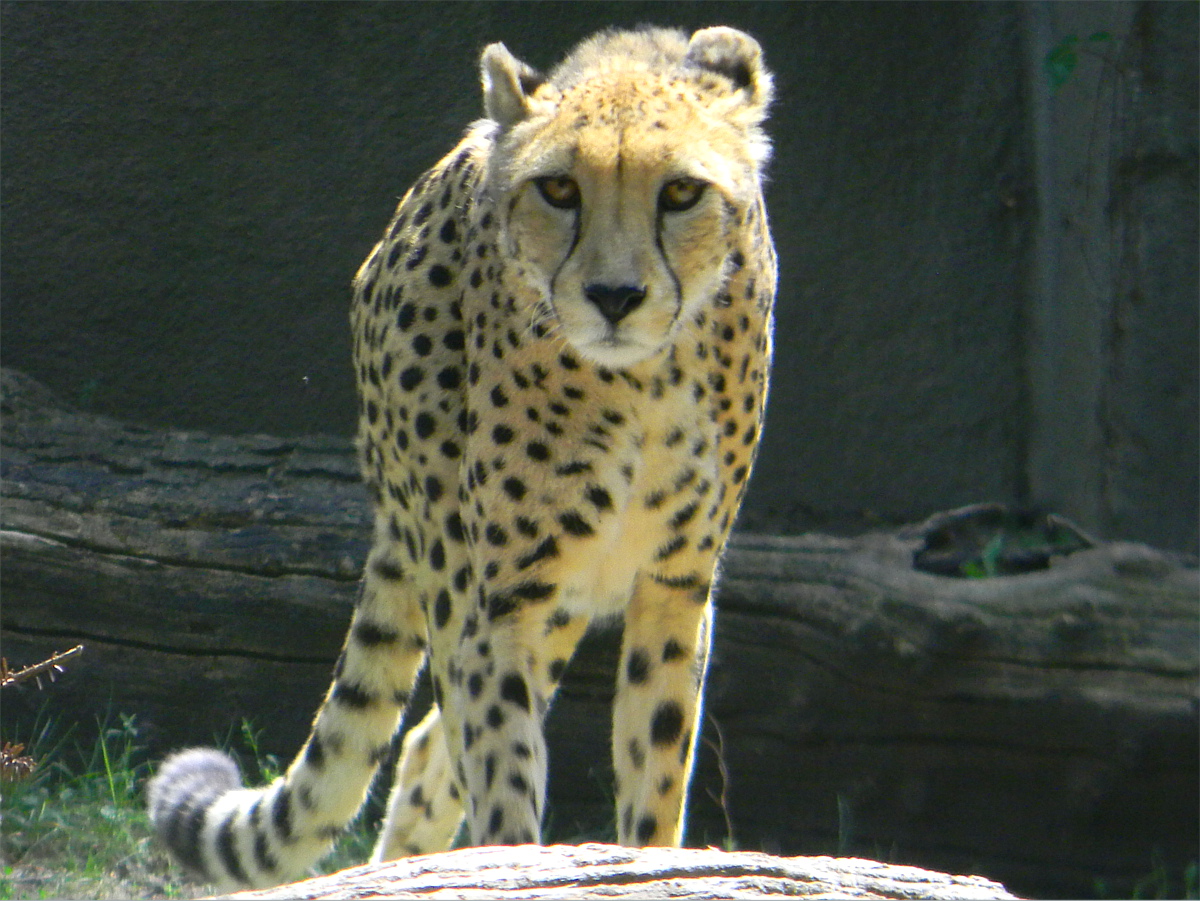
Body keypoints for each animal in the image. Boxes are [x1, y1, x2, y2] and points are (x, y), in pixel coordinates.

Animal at [147, 24, 776, 890]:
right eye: (560, 190)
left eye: (681, 193)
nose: (615, 297)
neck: (640, 381)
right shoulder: (498, 597)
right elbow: (504, 766)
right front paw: (523, 864)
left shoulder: (675, 583)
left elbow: (656, 764)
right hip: (458, 559)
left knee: (420, 749)